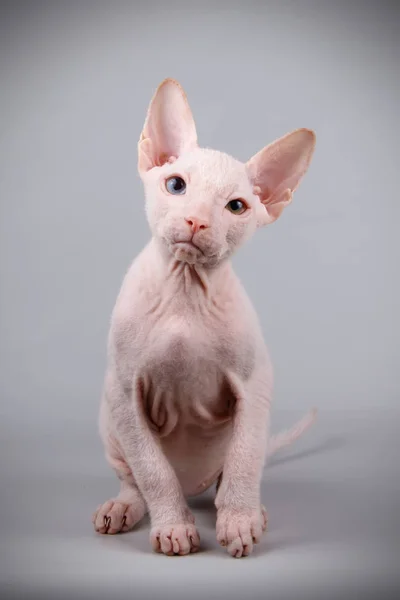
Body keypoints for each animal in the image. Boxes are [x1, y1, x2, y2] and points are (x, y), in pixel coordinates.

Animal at [92, 78, 318, 556]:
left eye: (236, 207)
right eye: (175, 185)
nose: (196, 221)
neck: (185, 288)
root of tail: (193, 486)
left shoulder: (255, 386)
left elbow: (245, 461)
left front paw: (238, 520)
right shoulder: (124, 391)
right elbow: (152, 470)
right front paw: (174, 527)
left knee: (234, 469)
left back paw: (249, 509)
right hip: (108, 422)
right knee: (134, 479)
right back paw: (124, 507)